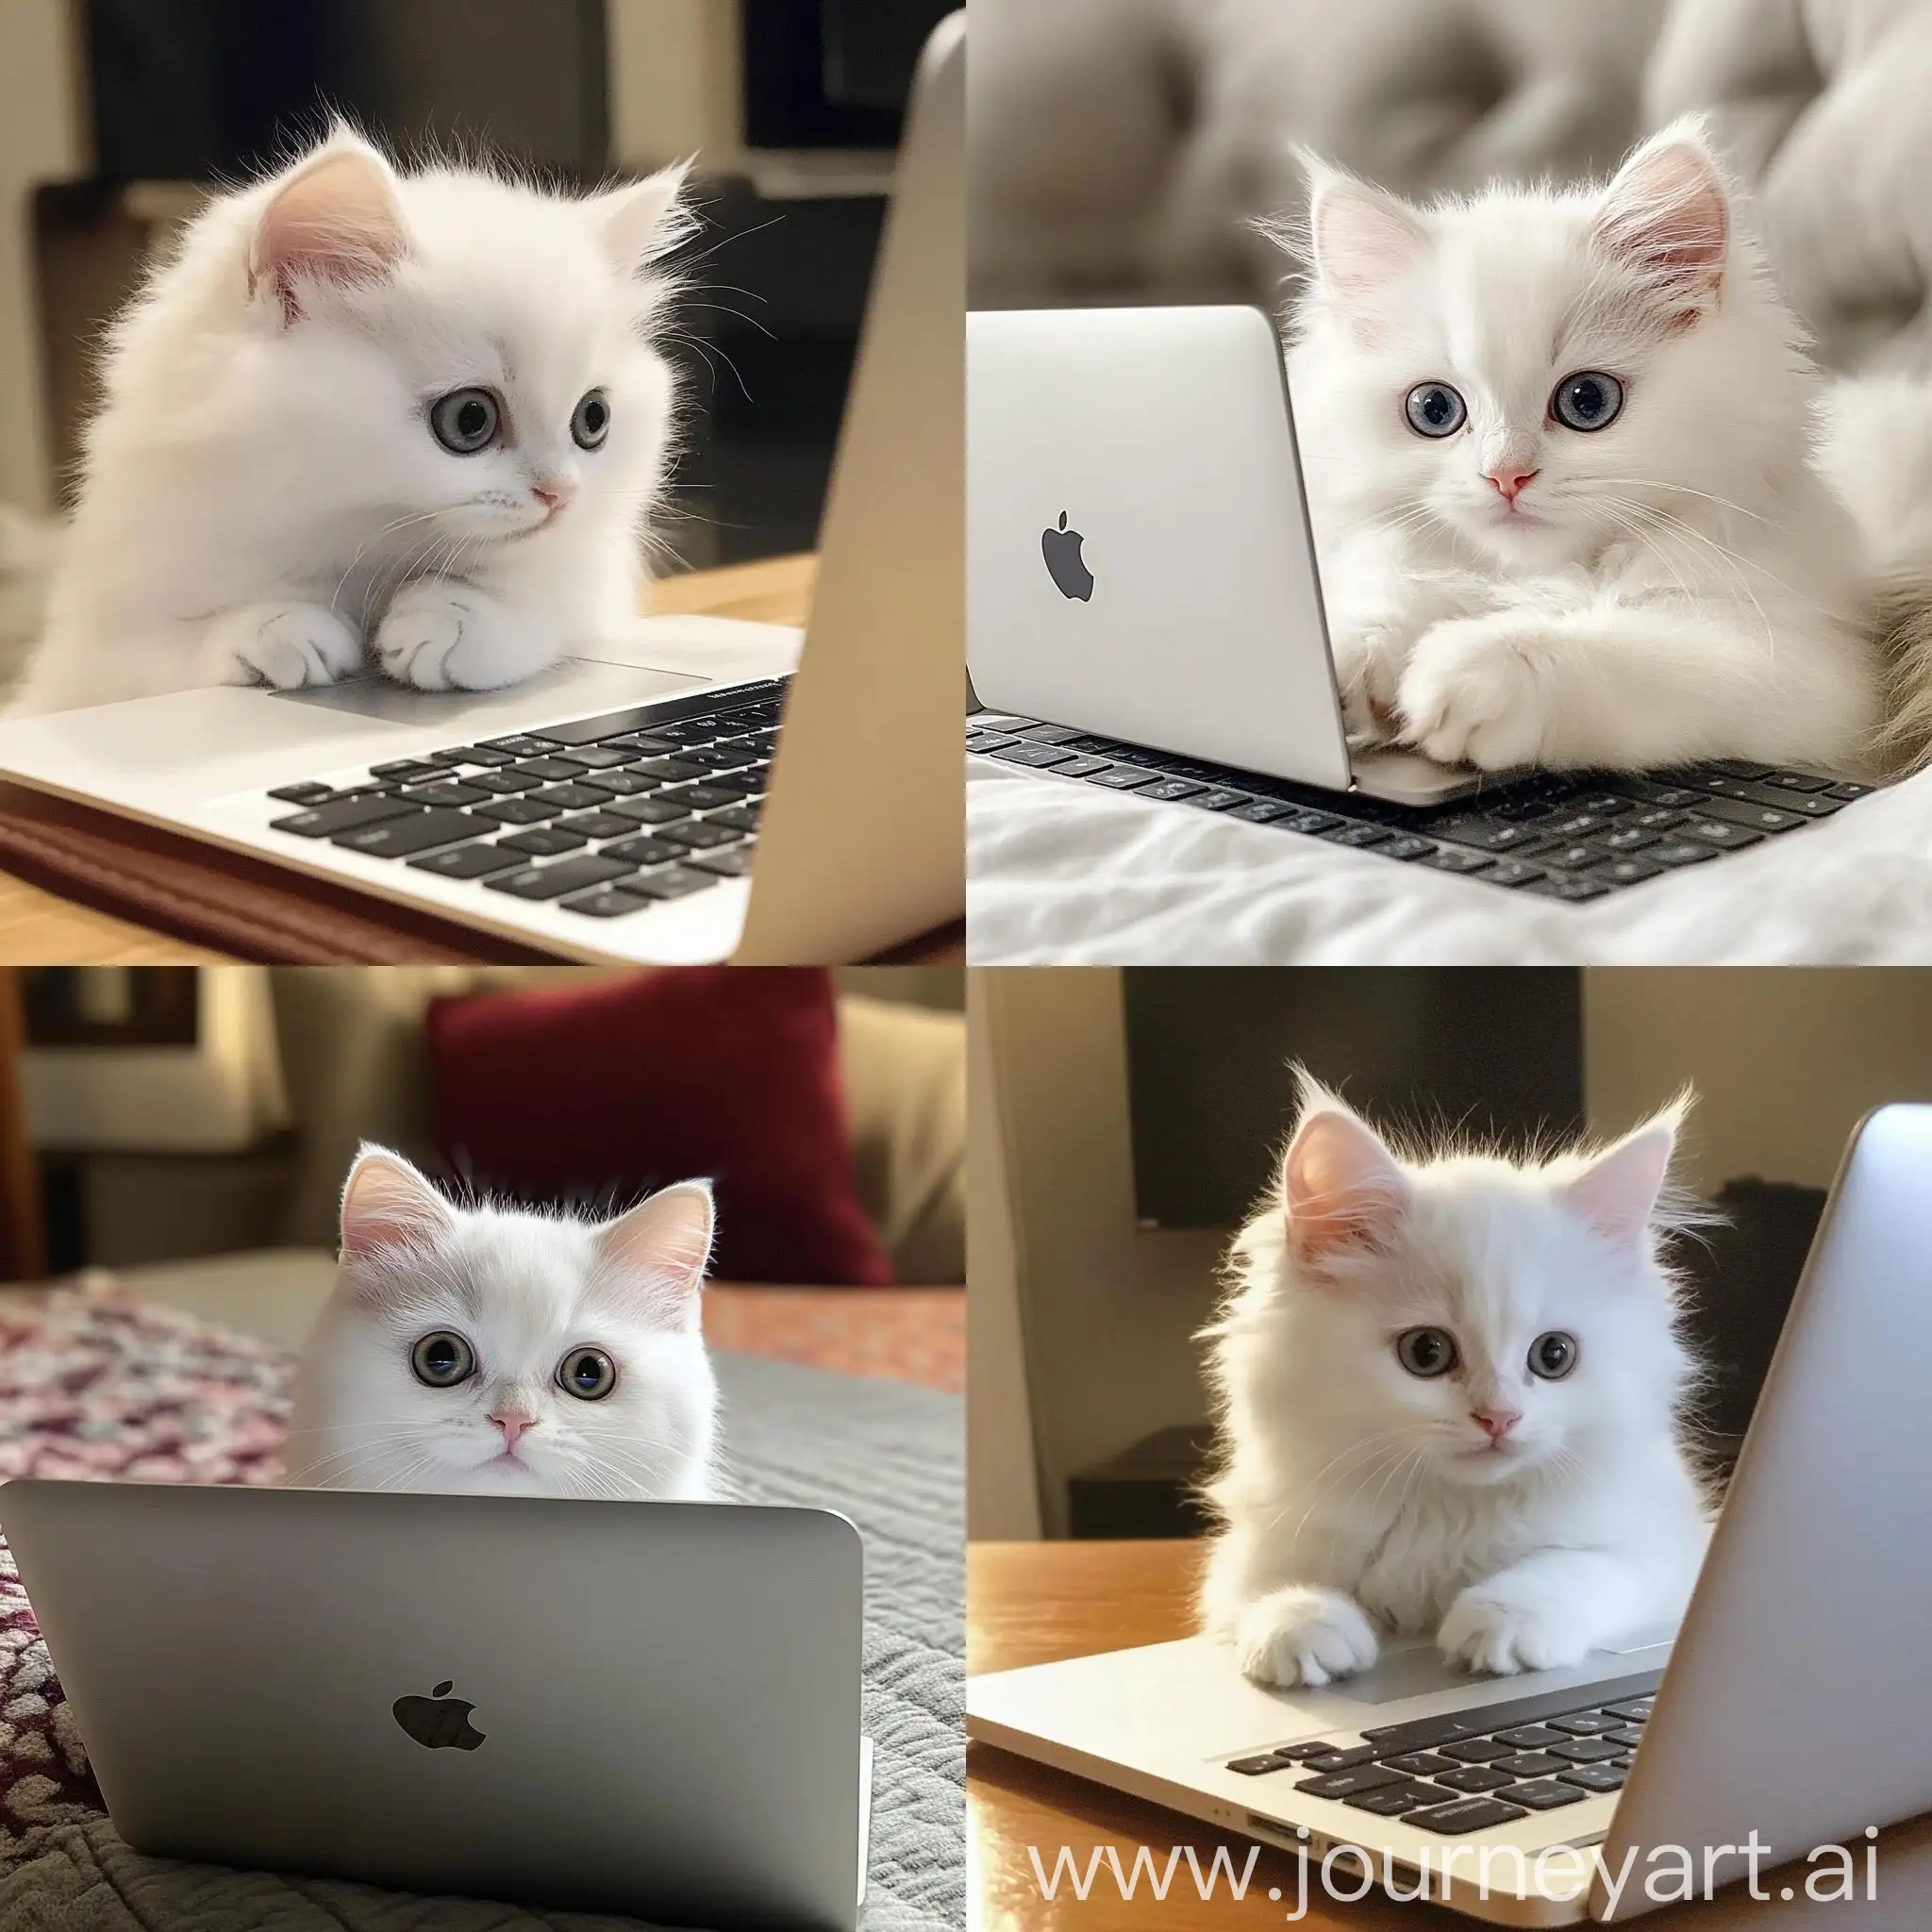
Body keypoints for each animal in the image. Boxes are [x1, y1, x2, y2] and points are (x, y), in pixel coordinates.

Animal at [15, 130, 691, 718]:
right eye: (469, 419)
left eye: (593, 420)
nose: (560, 493)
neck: (357, 549)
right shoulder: (90, 648)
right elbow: (168, 653)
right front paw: (275, 627)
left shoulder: (594, 587)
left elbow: (548, 600)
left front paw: (453, 619)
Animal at [1197, 1081, 1715, 1684]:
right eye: (1426, 1352)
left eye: (1554, 1355)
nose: (1499, 1417)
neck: (1443, 1512)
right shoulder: (1248, 1552)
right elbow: (1269, 1585)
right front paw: (1303, 1624)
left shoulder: (1663, 1554)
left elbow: (1570, 1567)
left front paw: (1500, 1621)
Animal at [1282, 114, 1870, 769]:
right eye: (1434, 410)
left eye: (1587, 401)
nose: (1505, 476)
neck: (1546, 573)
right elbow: (1392, 593)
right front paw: (1347, 660)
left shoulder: (1798, 665)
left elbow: (1613, 647)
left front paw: (1467, 668)